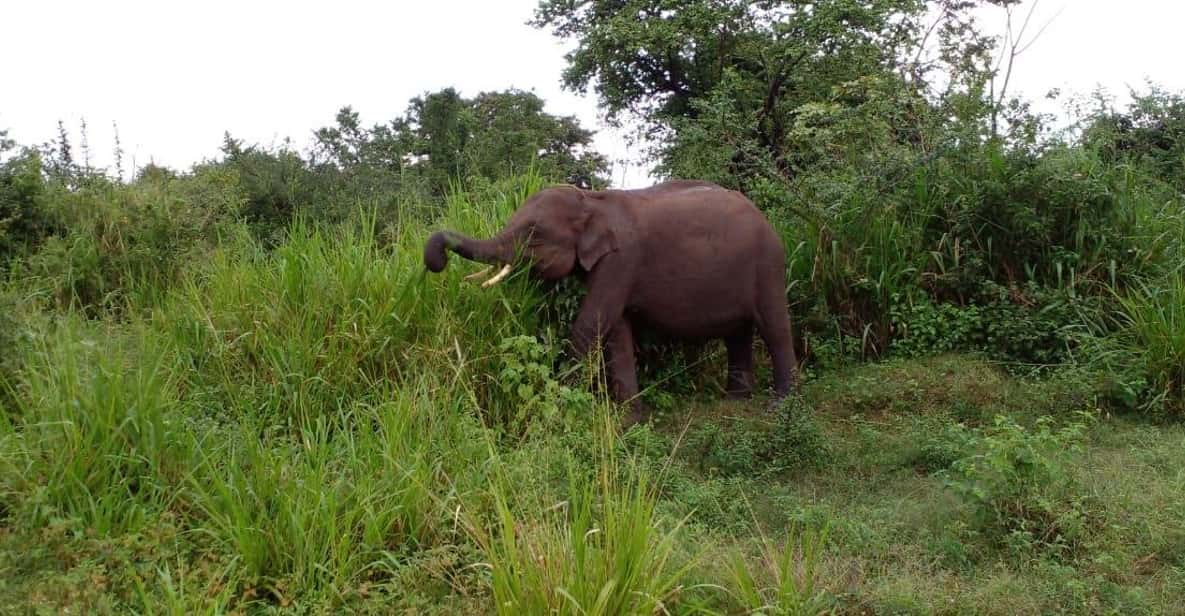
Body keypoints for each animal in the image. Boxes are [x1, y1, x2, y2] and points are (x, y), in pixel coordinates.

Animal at [421, 180, 801, 426]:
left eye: (534, 234)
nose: (437, 262)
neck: (592, 200)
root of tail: (765, 218)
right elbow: (616, 330)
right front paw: (632, 418)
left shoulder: (622, 260)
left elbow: (591, 324)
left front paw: (557, 408)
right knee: (738, 333)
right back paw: (735, 401)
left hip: (768, 263)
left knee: (775, 327)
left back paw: (780, 409)